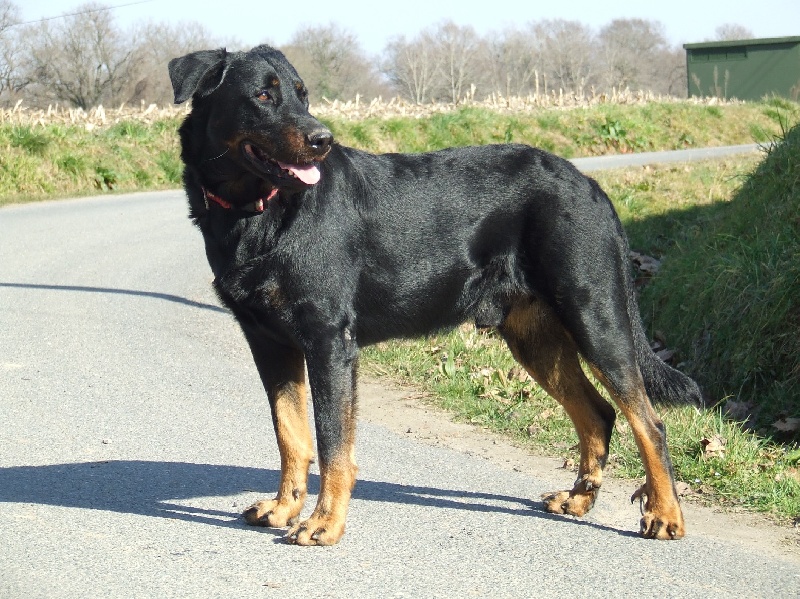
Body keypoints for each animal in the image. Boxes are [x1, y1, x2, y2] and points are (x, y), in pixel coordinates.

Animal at [167, 44, 700, 548]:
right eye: (262, 95)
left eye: (303, 95)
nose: (323, 141)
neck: (255, 212)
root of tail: (591, 186)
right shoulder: (269, 343)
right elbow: (291, 435)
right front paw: (283, 509)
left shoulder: (329, 341)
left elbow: (333, 441)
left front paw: (323, 524)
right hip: (536, 339)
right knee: (599, 413)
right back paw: (578, 499)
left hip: (595, 317)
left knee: (648, 422)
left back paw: (665, 515)